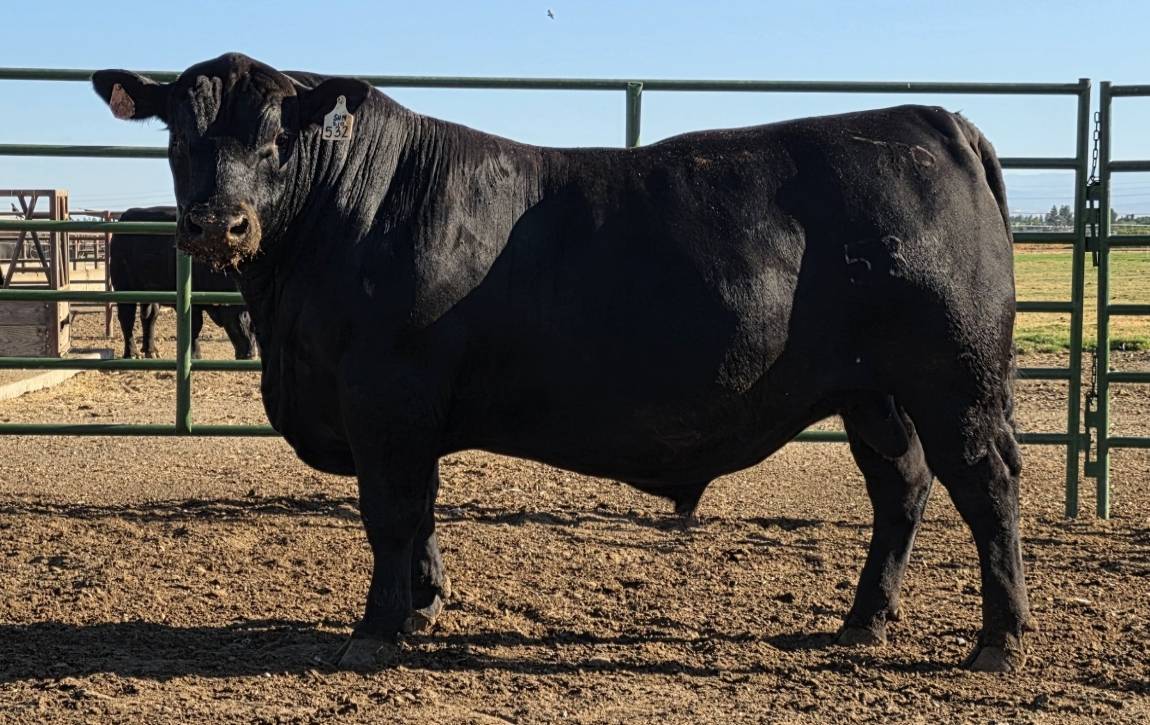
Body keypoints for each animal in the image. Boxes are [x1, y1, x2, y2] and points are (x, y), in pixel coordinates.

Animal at [109, 206, 257, 360]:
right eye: (236, 324)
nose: (250, 355)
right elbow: (195, 327)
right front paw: (195, 355)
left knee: (149, 317)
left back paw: (151, 351)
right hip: (123, 287)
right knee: (126, 317)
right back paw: (131, 353)